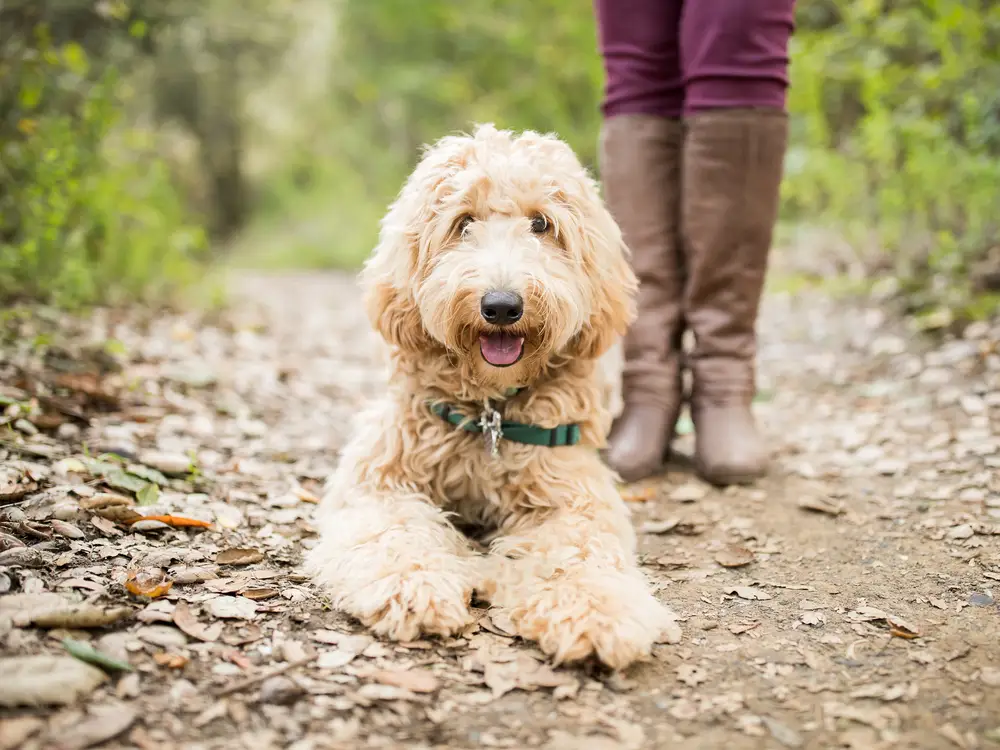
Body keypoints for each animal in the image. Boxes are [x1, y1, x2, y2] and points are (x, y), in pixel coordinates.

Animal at [304, 123, 680, 668]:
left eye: (542, 224)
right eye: (463, 223)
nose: (501, 306)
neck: (490, 412)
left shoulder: (572, 493)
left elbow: (577, 552)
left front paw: (593, 612)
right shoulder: (382, 478)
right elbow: (393, 530)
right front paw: (413, 586)